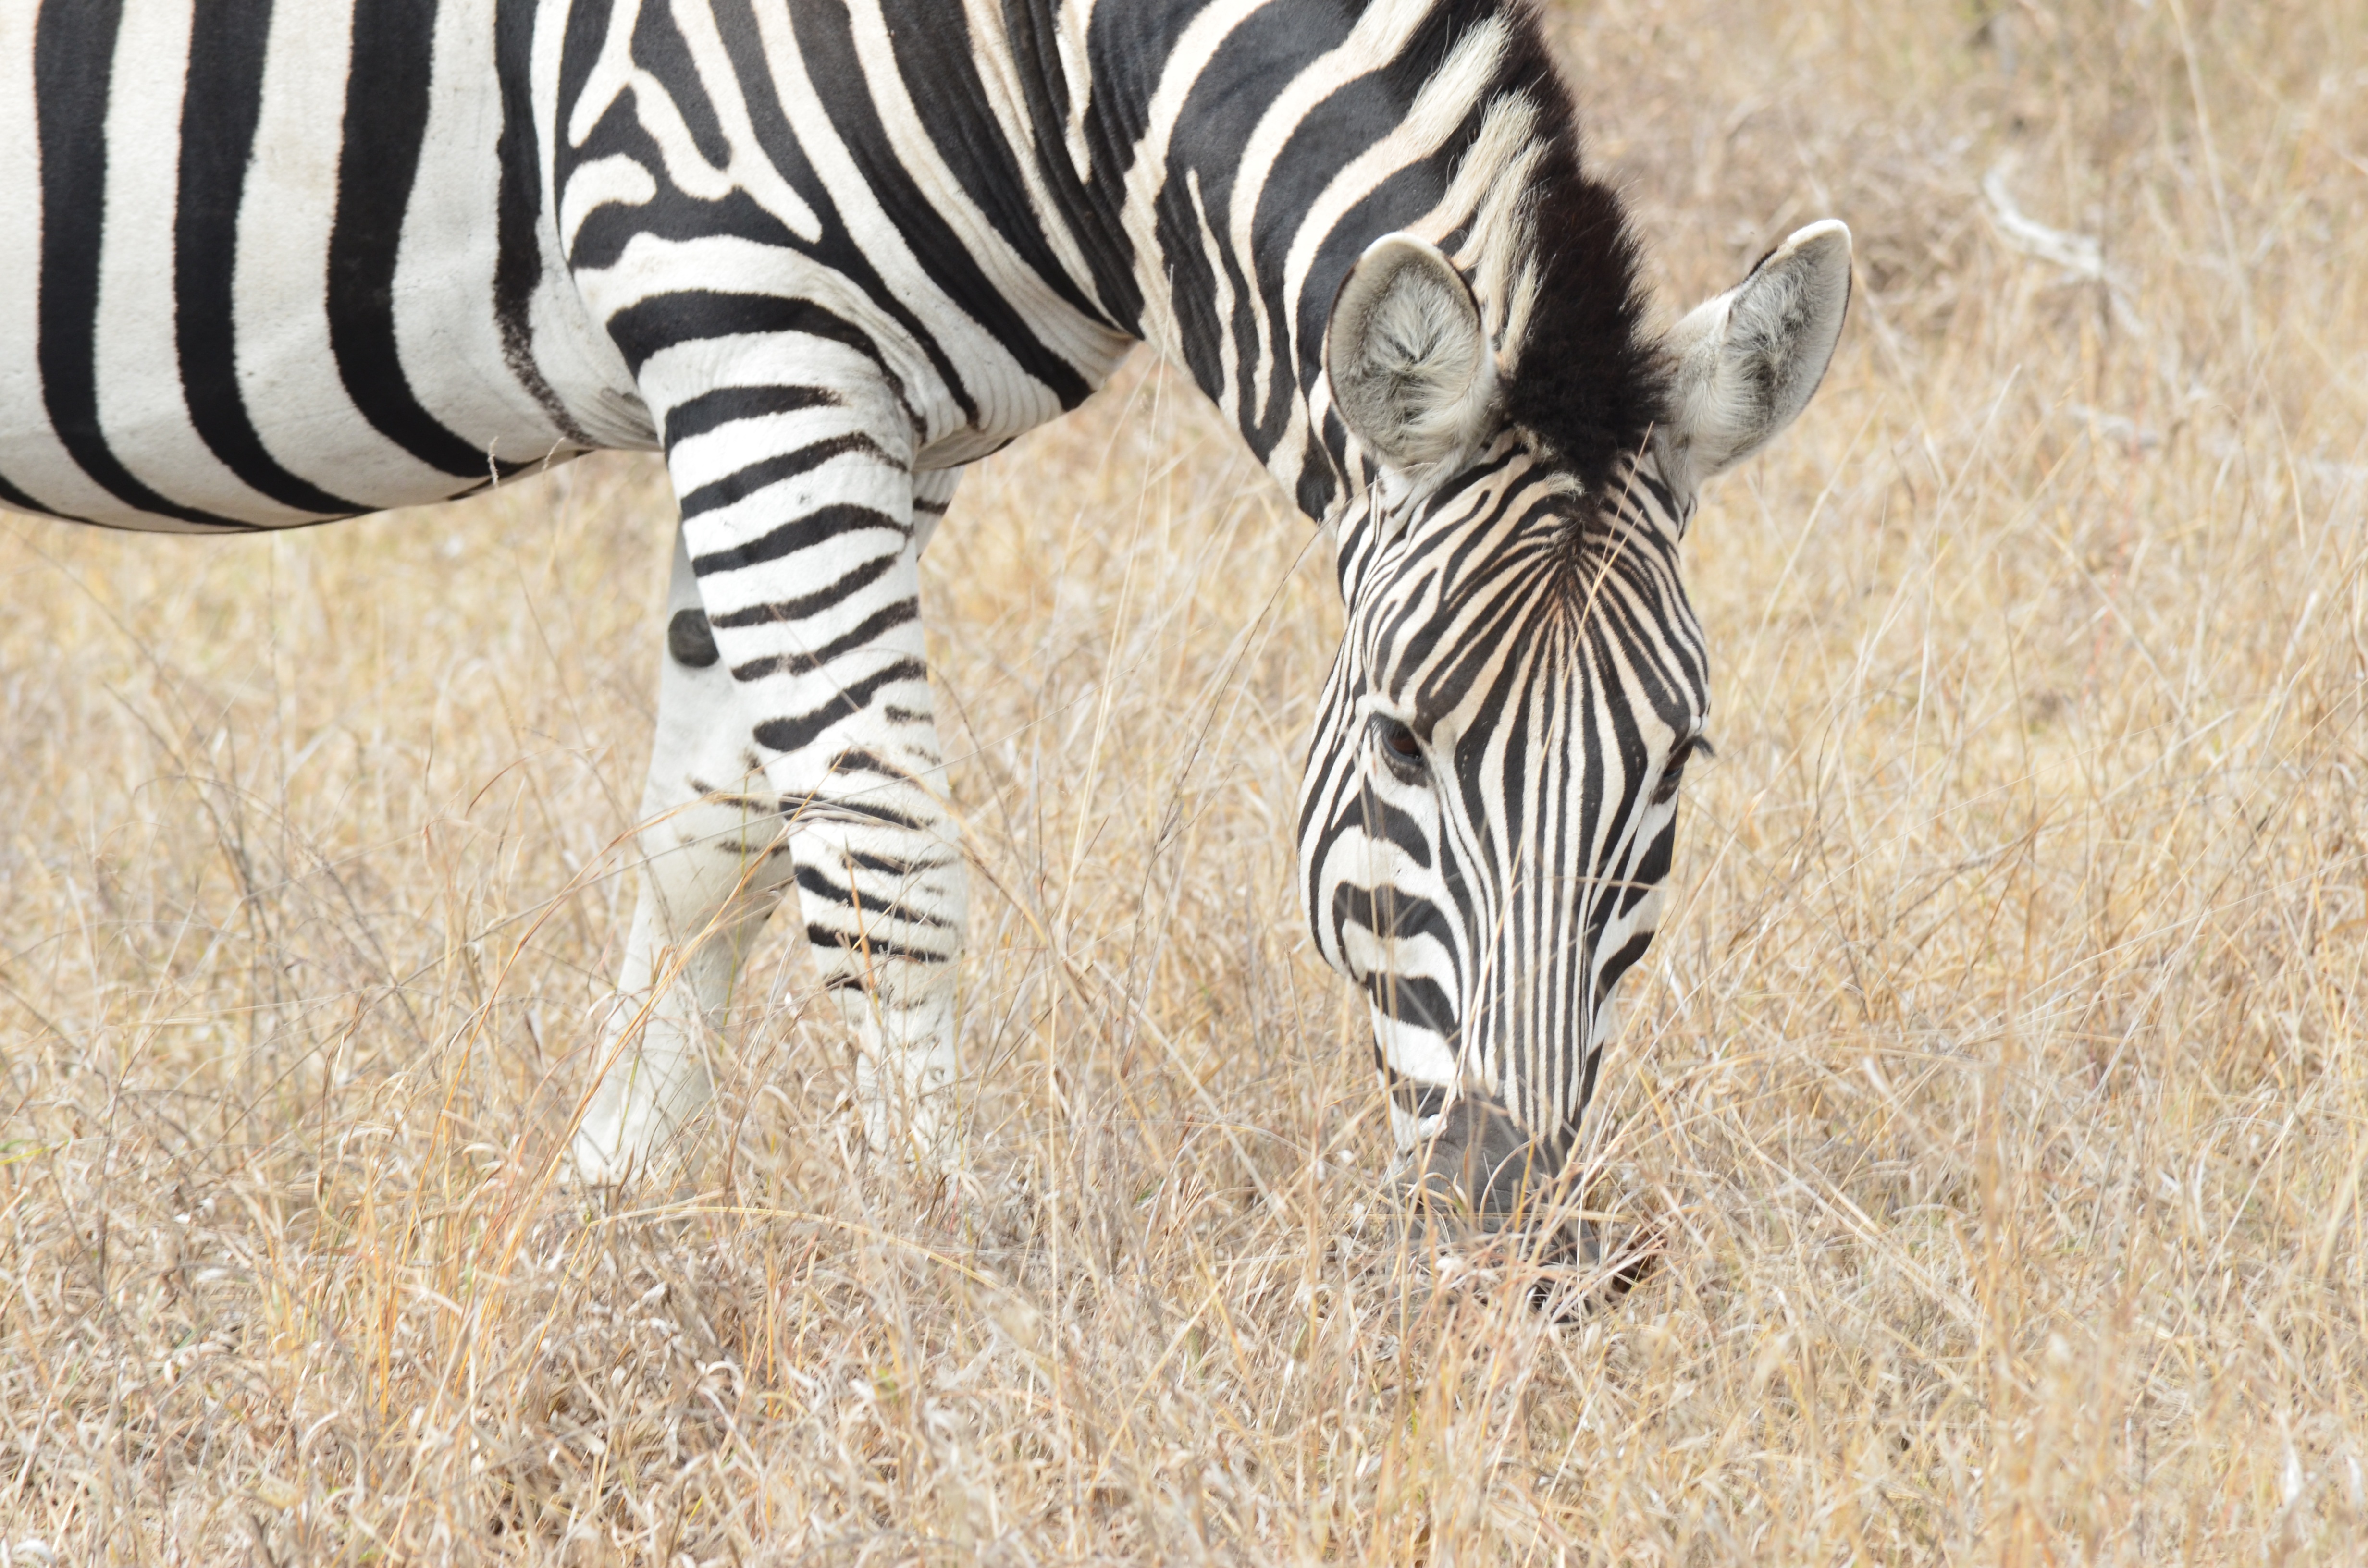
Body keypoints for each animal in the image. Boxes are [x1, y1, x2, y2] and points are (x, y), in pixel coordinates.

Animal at [4, 0, 1847, 1222]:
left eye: (1677, 764)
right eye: (1399, 738)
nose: (1507, 1220)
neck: (1038, 68)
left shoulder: (881, 417)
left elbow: (724, 833)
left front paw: (611, 1218)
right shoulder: (750, 327)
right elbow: (881, 852)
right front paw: (932, 1268)